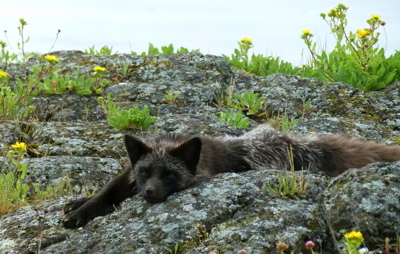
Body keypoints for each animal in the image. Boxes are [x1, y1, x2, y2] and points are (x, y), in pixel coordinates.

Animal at [61, 124, 400, 228]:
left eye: (169, 174)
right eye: (145, 172)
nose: (149, 192)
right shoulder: (126, 177)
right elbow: (106, 192)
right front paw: (78, 210)